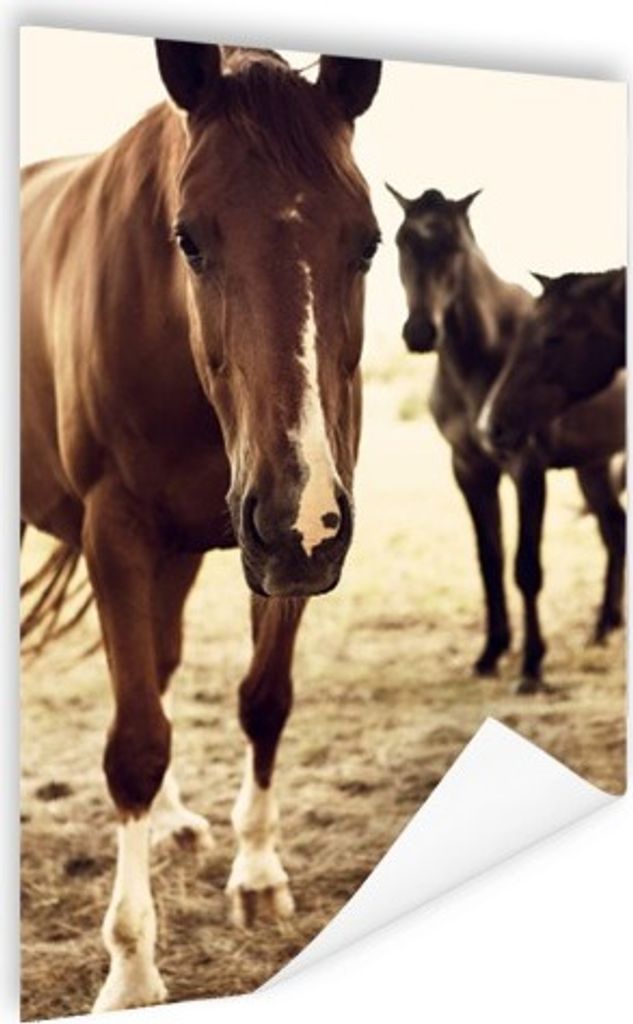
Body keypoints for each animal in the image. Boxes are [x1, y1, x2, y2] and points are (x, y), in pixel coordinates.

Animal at [21, 41, 381, 1012]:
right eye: (188, 237)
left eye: (369, 241)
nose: (294, 508)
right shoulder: (116, 533)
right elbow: (136, 743)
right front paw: (132, 967)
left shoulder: (297, 539)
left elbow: (260, 699)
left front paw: (256, 873)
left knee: (161, 661)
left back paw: (179, 823)